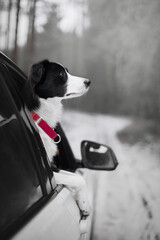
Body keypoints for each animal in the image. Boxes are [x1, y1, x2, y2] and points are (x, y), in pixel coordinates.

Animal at [24, 60, 90, 216]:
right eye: (61, 74)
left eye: (67, 71)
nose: (88, 81)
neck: (40, 119)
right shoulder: (43, 176)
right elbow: (79, 179)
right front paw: (84, 204)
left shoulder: (52, 166)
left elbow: (78, 177)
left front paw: (83, 202)